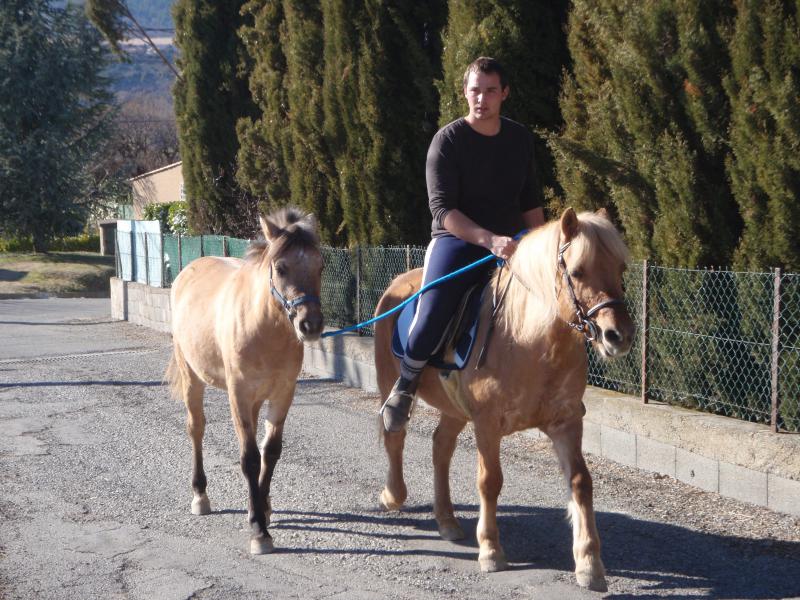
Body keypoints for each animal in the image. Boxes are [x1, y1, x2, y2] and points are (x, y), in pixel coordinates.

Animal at [167, 206, 324, 552]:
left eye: (320, 266)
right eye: (281, 267)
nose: (311, 325)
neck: (263, 326)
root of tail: (189, 270)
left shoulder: (283, 394)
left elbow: (270, 452)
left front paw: (262, 507)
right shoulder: (237, 394)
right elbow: (250, 458)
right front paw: (259, 530)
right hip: (191, 376)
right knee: (196, 428)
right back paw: (200, 495)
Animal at [372, 206, 636, 592]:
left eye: (620, 269)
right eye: (577, 272)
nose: (618, 335)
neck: (528, 340)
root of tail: (396, 285)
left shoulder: (567, 421)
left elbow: (580, 482)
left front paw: (589, 564)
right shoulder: (487, 424)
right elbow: (490, 481)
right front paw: (491, 551)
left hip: (455, 409)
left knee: (441, 446)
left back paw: (447, 520)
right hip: (389, 382)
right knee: (395, 436)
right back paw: (394, 495)